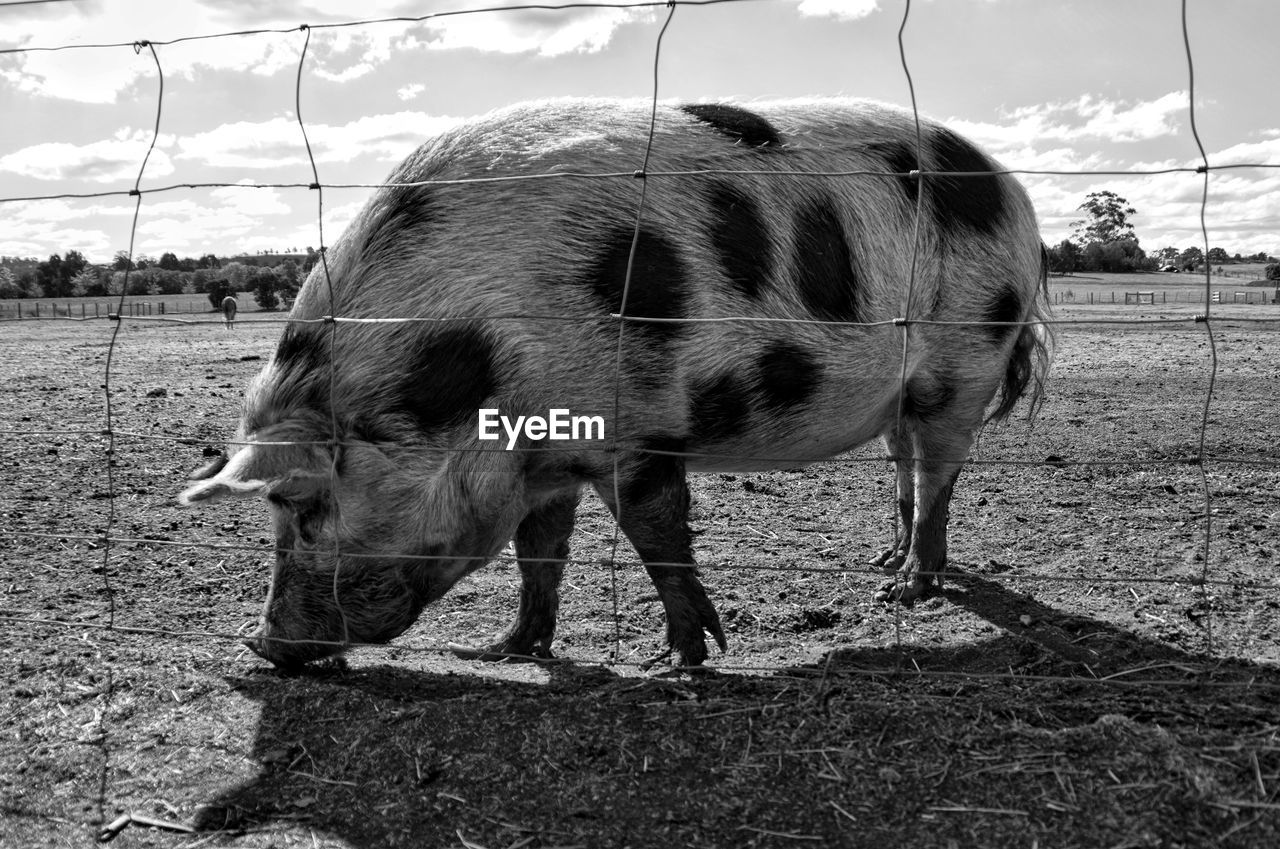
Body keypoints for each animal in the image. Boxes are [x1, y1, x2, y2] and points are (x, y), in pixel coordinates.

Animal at [177, 97, 1049, 671]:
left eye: (300, 505)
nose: (261, 643)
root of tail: (1008, 185)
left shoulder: (636, 428)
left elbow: (656, 536)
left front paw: (680, 662)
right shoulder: (541, 459)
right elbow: (539, 553)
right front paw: (502, 649)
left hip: (966, 355)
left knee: (938, 474)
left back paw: (906, 591)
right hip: (910, 389)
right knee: (906, 464)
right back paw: (881, 561)